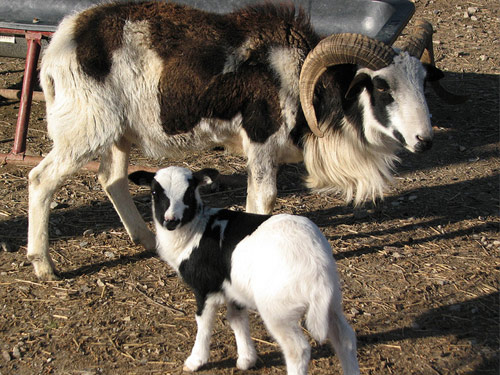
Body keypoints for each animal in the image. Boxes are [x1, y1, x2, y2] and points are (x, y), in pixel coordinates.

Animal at [27, 2, 442, 280]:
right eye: (382, 86)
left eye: (422, 82)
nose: (424, 141)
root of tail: (63, 39)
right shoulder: (262, 142)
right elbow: (264, 200)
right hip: (83, 132)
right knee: (40, 180)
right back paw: (44, 266)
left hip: (117, 135)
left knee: (110, 179)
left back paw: (146, 240)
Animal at [129, 167, 362, 375]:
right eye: (154, 193)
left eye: (189, 192)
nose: (170, 221)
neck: (196, 229)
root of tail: (316, 266)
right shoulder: (234, 288)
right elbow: (237, 319)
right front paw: (246, 360)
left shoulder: (206, 286)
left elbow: (204, 322)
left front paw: (196, 361)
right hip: (332, 301)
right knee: (346, 338)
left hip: (278, 309)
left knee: (298, 350)